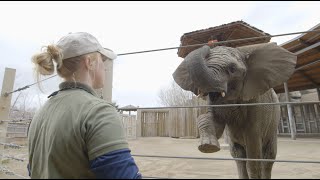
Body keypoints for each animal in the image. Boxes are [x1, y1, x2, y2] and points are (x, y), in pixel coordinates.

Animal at [172, 43, 298, 179]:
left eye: (232, 69)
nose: (207, 45)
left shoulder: (255, 102)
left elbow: (253, 154)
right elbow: (216, 126)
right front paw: (208, 146)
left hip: (273, 123)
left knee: (268, 157)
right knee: (239, 157)